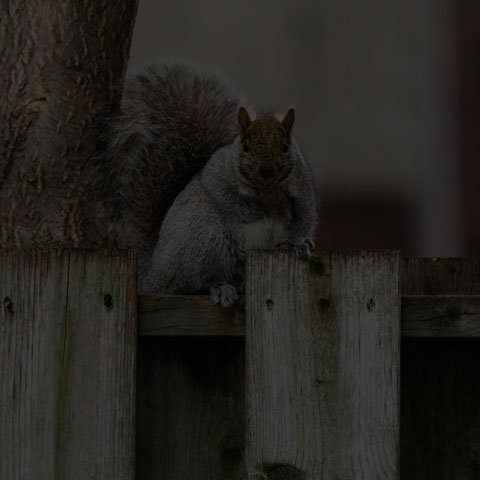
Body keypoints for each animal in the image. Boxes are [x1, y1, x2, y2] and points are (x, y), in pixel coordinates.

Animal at [95, 60, 316, 304]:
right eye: (246, 146)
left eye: (285, 147)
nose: (266, 171)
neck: (267, 191)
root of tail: (153, 272)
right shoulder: (217, 172)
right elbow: (221, 193)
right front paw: (252, 210)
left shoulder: (301, 187)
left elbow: (305, 216)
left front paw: (299, 243)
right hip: (206, 238)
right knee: (190, 283)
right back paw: (216, 287)